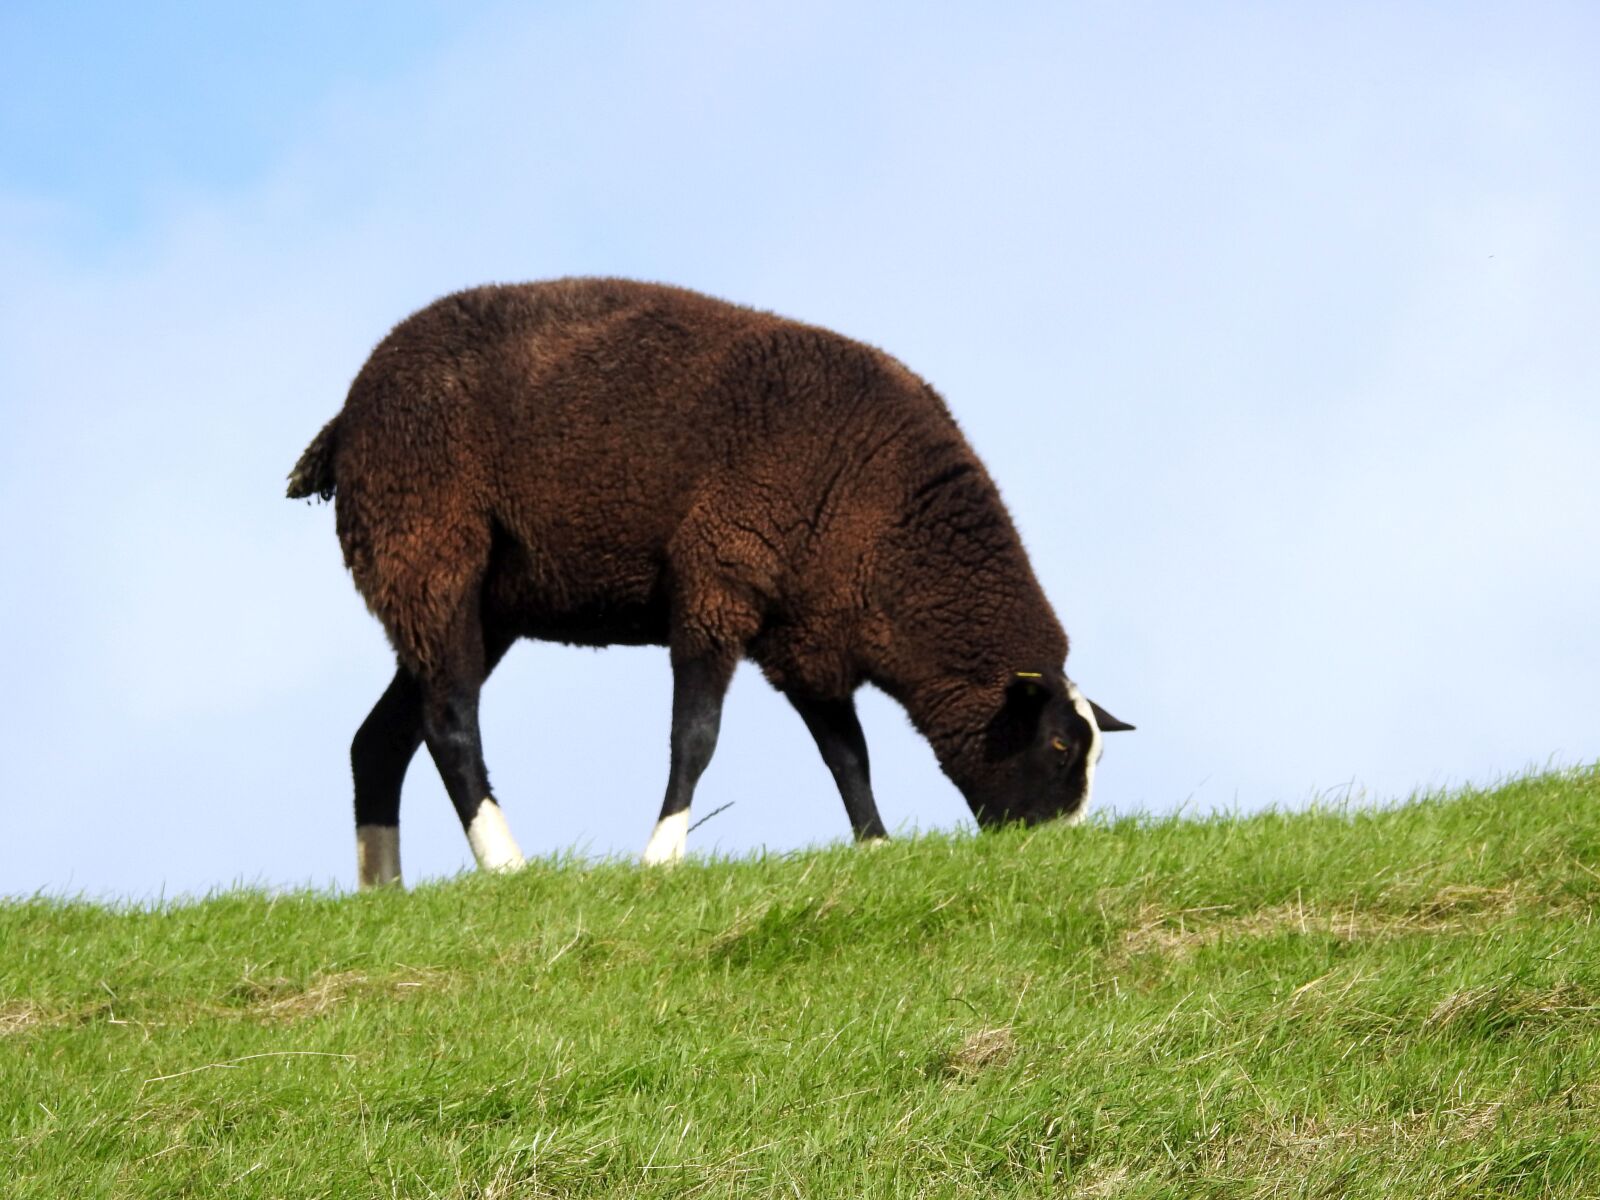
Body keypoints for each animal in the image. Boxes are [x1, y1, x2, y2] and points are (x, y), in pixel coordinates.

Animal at [289, 278, 1132, 888]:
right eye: (1059, 745)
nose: (1062, 851)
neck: (895, 535)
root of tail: (348, 416)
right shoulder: (717, 582)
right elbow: (695, 735)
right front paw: (663, 854)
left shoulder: (807, 633)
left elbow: (847, 753)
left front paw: (875, 846)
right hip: (428, 548)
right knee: (448, 722)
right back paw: (505, 863)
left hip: (478, 600)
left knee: (380, 737)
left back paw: (384, 891)